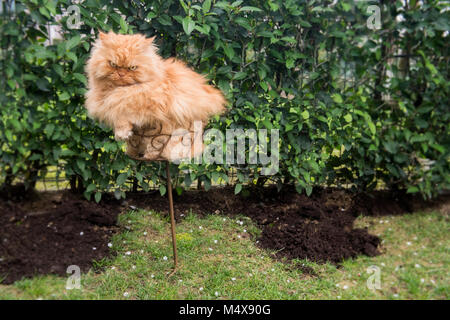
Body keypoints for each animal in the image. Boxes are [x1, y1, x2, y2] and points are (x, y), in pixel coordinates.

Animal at [84, 31, 225, 140]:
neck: (118, 91)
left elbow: (123, 113)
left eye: (132, 68)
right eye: (113, 64)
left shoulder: (152, 108)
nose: (121, 74)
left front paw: (121, 134)